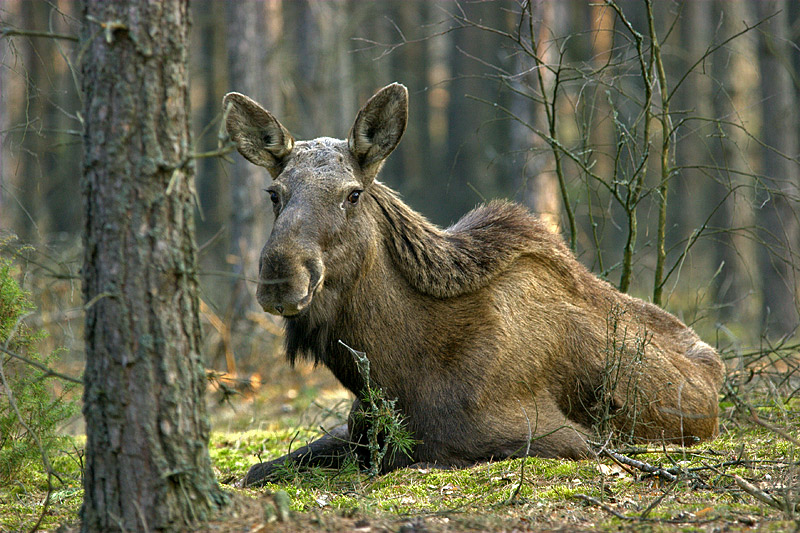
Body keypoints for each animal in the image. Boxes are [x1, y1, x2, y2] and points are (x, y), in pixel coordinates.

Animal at [222, 83, 720, 486]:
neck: (392, 371)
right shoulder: (359, 425)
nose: (281, 276)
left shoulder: (559, 436)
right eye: (274, 194)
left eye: (353, 193)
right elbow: (259, 469)